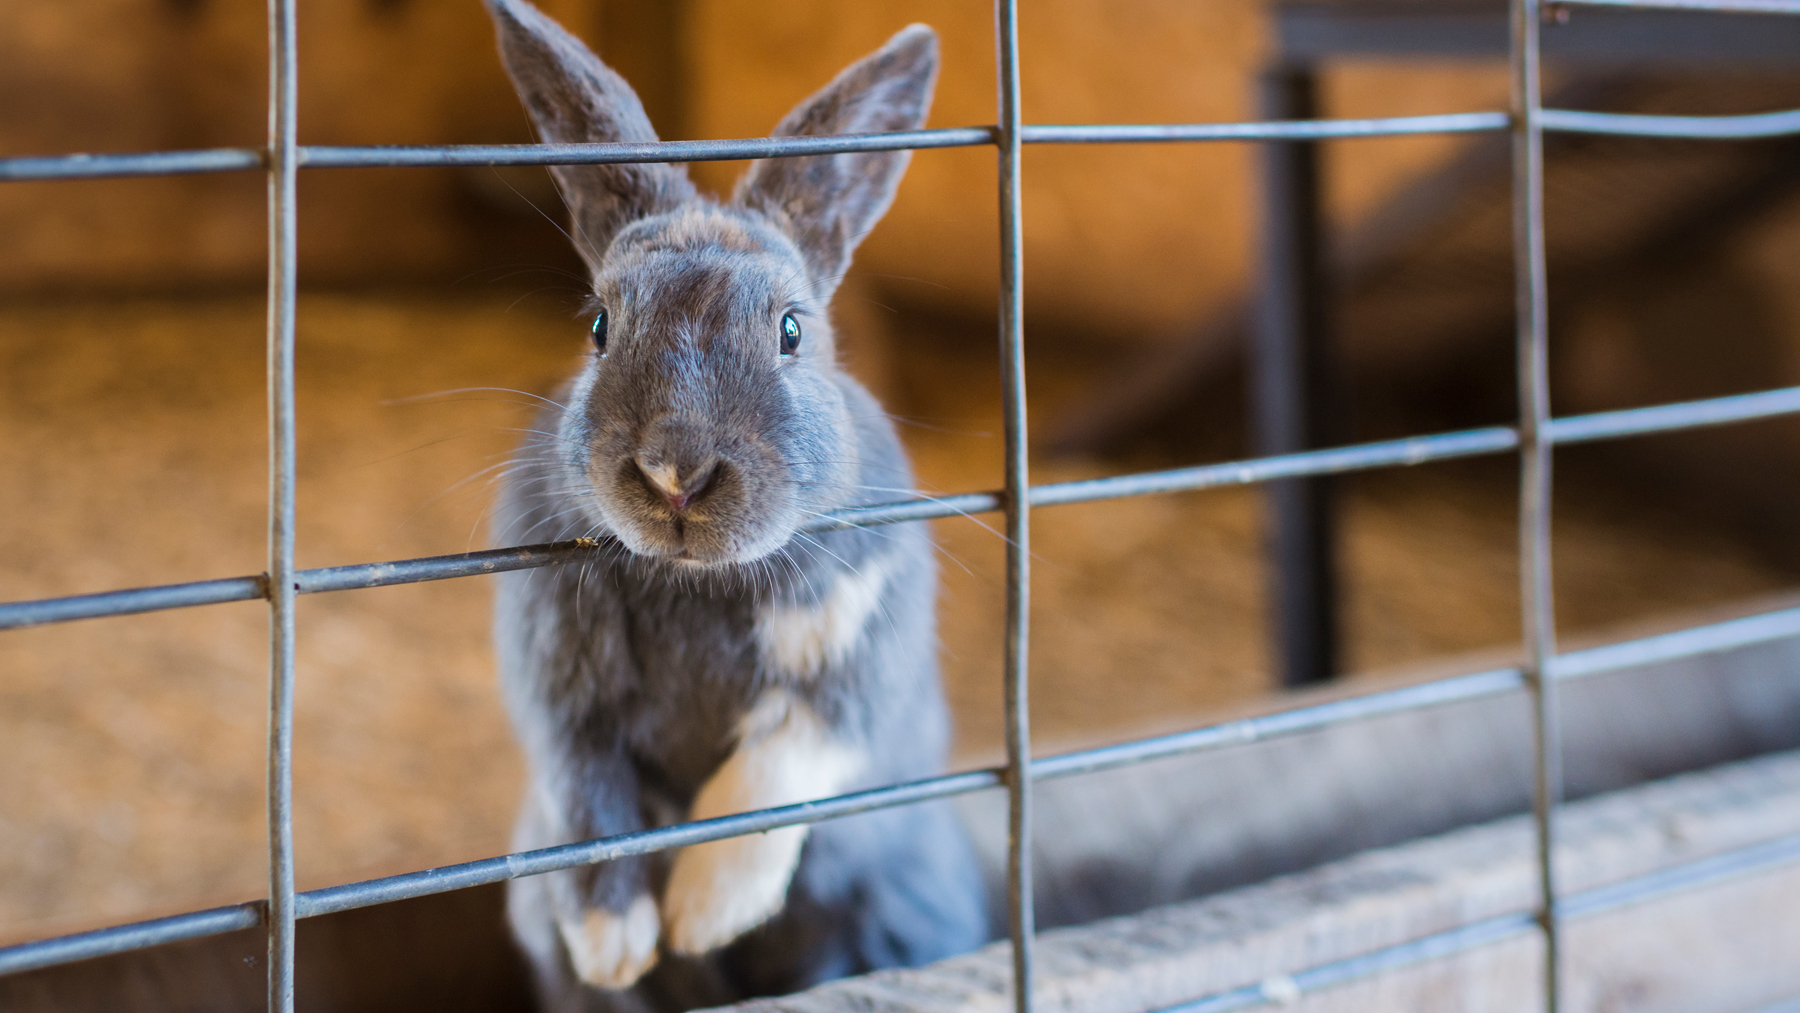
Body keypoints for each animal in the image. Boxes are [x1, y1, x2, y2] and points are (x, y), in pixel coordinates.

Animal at [481, 1, 991, 1009]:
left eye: (792, 330)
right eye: (600, 325)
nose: (675, 471)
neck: (695, 579)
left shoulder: (854, 659)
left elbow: (776, 767)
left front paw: (701, 912)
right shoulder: (561, 699)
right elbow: (587, 799)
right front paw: (618, 941)